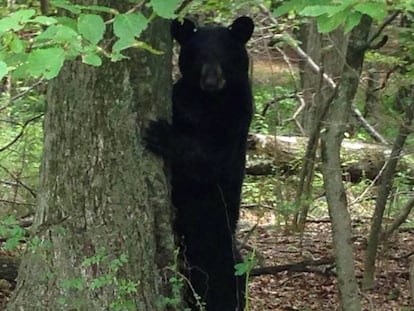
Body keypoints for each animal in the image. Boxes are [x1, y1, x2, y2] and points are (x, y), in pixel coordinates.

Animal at [146, 17, 256, 311]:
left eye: (225, 54)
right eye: (197, 55)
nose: (211, 80)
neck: (209, 101)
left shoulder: (236, 117)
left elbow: (210, 160)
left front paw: (160, 134)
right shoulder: (182, 98)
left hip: (220, 256)